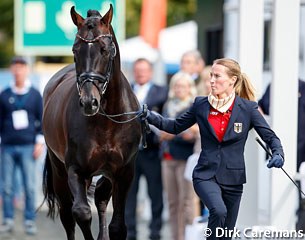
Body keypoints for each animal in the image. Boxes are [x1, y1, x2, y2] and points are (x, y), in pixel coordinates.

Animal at [41, 4, 141, 239]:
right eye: (75, 50)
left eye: (105, 49)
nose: (89, 102)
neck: (107, 123)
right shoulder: (76, 170)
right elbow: (82, 213)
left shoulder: (124, 172)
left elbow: (117, 226)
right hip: (59, 171)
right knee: (68, 215)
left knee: (101, 198)